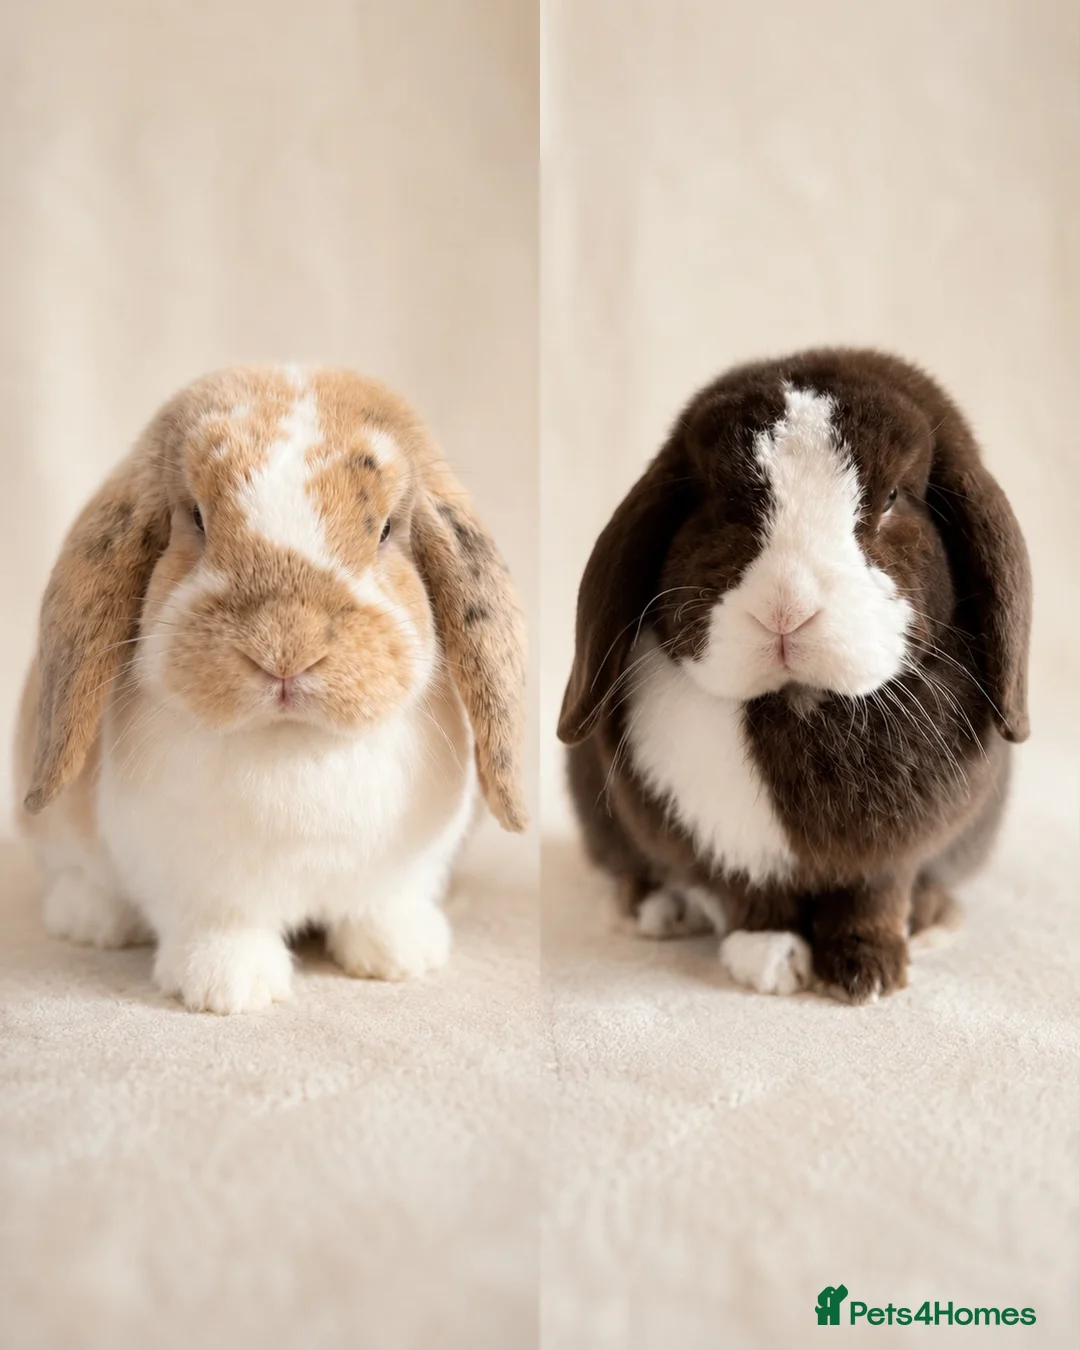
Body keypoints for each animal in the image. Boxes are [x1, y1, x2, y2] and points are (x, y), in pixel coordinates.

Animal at [14, 365, 527, 1013]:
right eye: (197, 518)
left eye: (387, 529)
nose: (287, 648)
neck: (293, 744)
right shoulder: (196, 879)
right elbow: (223, 923)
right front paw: (228, 987)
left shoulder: (402, 870)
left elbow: (383, 906)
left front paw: (401, 957)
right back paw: (89, 920)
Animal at [558, 349, 1030, 1003]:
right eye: (717, 500)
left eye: (893, 497)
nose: (787, 608)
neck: (799, 705)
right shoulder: (725, 846)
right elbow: (751, 898)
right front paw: (772, 962)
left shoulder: (893, 856)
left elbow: (873, 897)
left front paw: (869, 976)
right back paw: (654, 910)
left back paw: (931, 918)